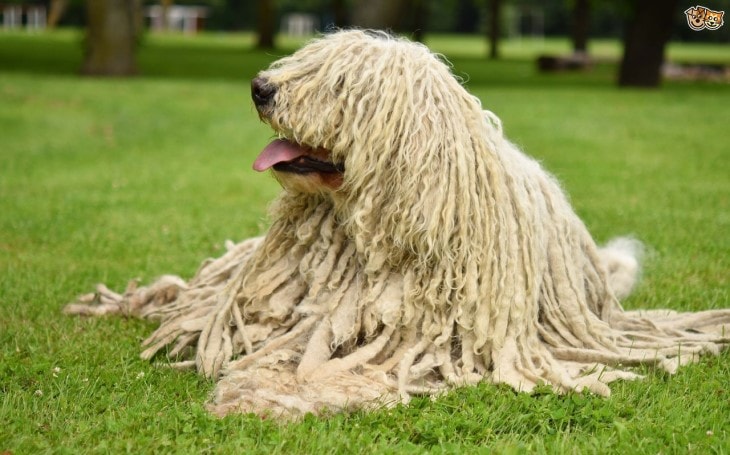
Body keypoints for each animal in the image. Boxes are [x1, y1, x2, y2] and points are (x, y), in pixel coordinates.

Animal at [65, 30, 724, 418]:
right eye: (307, 59)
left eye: (337, 84)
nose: (260, 87)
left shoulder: (425, 344)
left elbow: (338, 373)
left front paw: (260, 392)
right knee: (192, 293)